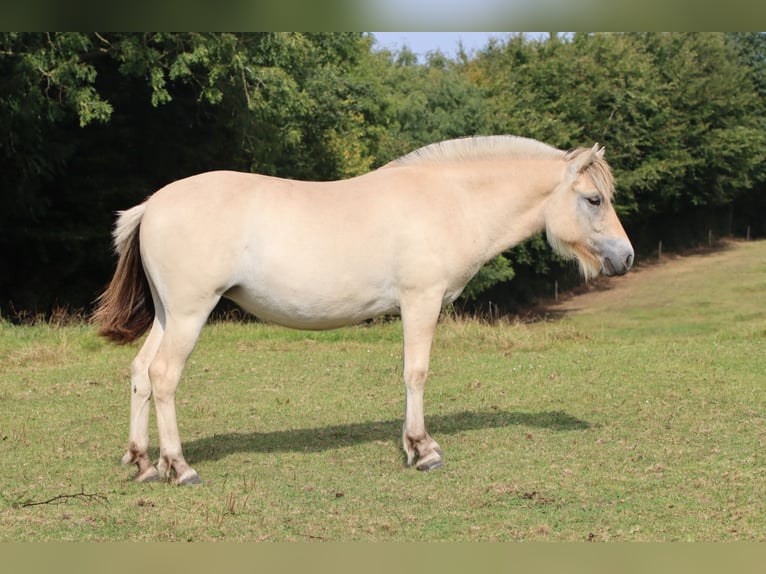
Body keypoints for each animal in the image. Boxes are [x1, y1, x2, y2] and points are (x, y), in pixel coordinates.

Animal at [93, 136, 636, 486]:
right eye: (594, 199)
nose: (626, 257)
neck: (450, 199)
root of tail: (151, 206)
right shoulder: (421, 301)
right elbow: (416, 372)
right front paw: (423, 450)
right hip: (189, 314)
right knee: (163, 377)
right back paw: (179, 467)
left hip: (168, 315)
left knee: (140, 373)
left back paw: (143, 463)